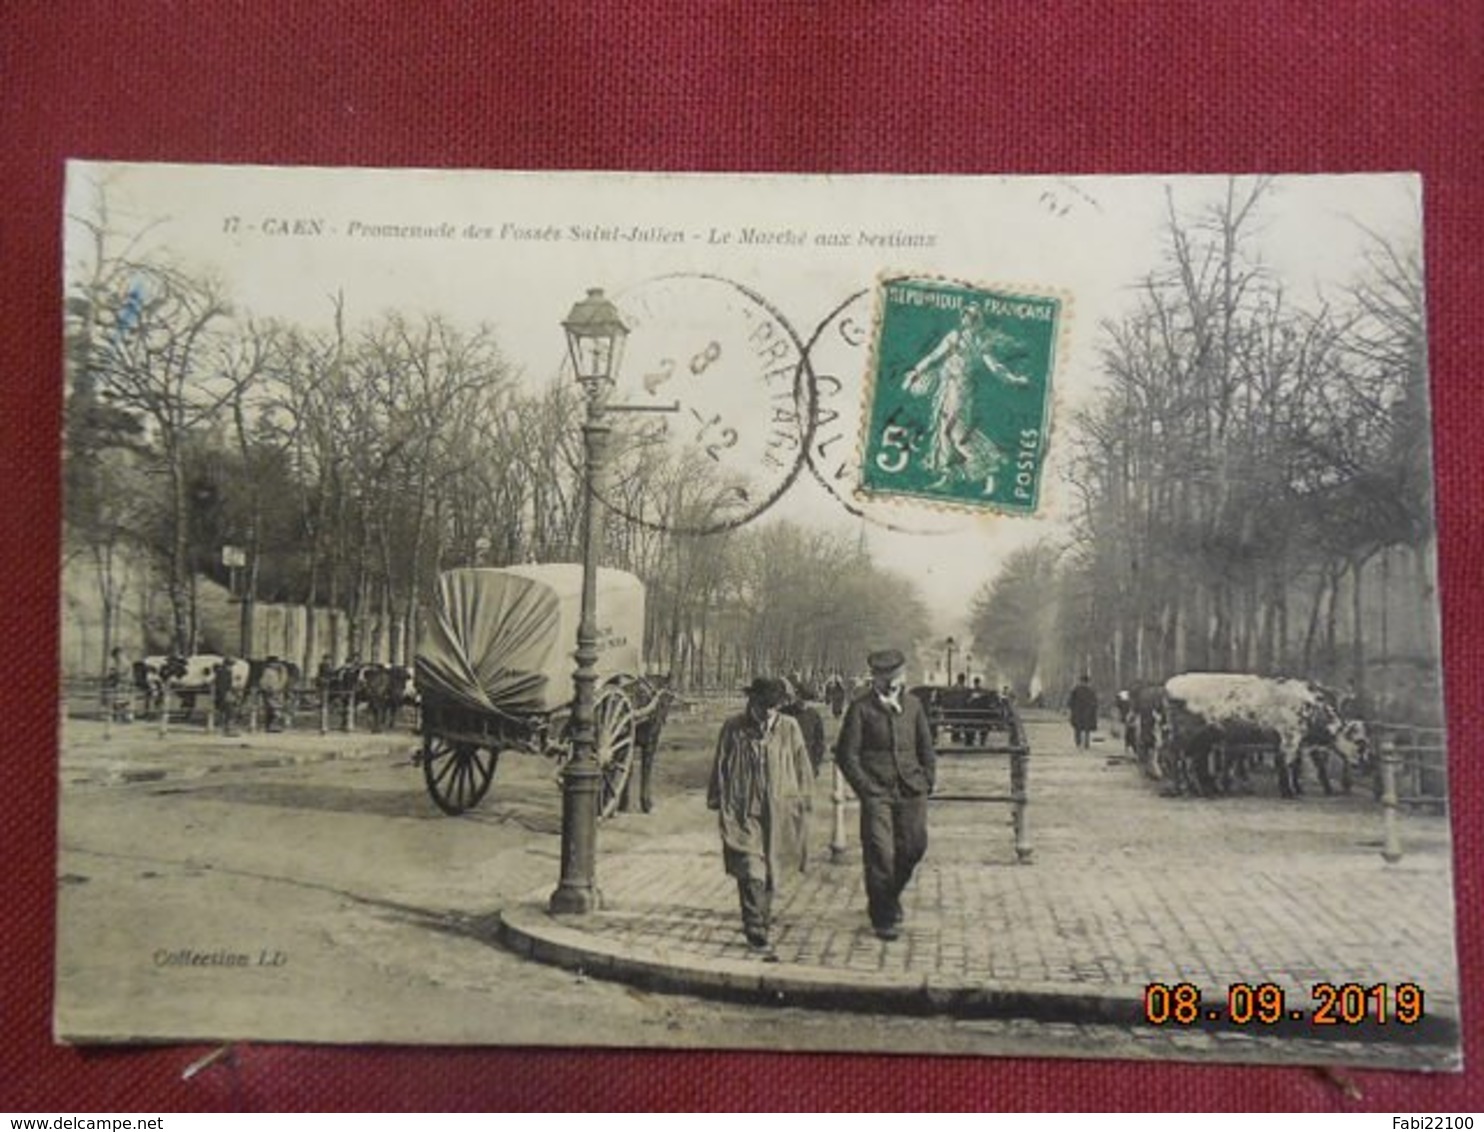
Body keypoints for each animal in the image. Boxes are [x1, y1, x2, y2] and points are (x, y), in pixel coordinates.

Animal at [1157, 676, 1365, 801]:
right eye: (1359, 743)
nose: (1363, 763)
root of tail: (1171, 683)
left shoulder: (1290, 743)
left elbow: (1290, 765)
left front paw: (1294, 789)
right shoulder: (1289, 738)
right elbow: (1286, 765)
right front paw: (1289, 792)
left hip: (1200, 740)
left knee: (1193, 762)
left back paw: (1200, 790)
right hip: (1183, 737)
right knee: (1175, 758)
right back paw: (1179, 789)